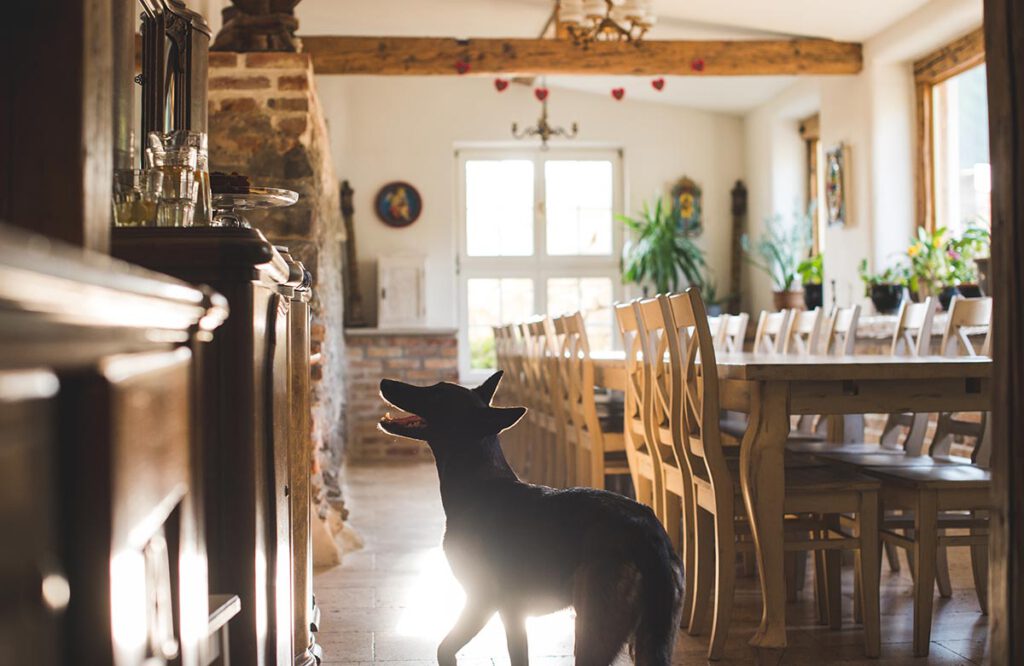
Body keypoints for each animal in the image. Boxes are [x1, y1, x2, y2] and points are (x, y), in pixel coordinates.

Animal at [378, 371, 683, 666]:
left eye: (438, 393)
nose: (384, 382)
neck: (480, 483)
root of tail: (648, 535)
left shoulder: (484, 602)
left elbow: (444, 650)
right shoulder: (513, 614)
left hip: (593, 632)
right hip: (648, 642)